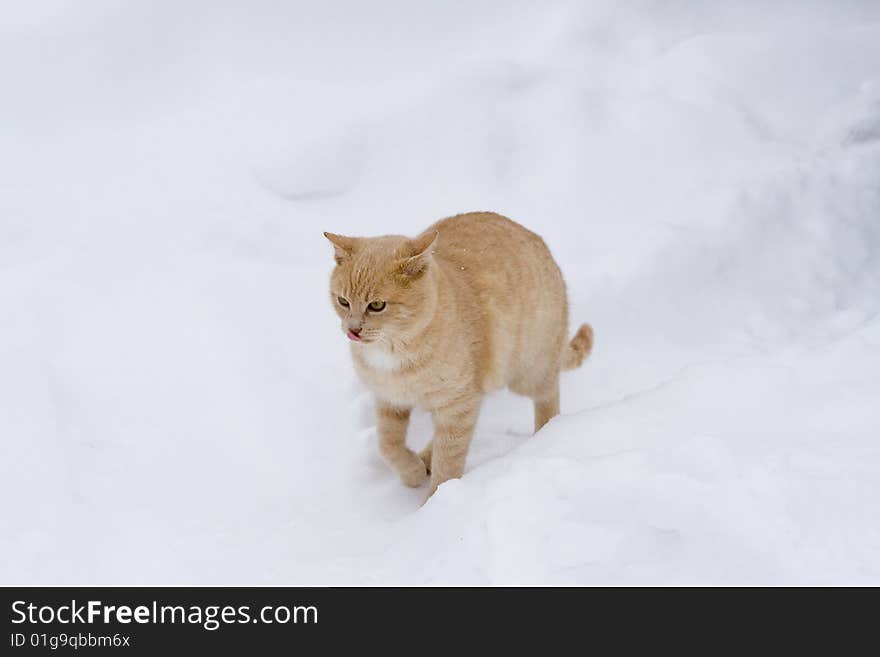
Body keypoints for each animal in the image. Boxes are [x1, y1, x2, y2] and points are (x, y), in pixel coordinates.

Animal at [326, 210, 596, 498]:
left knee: (549, 397)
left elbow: (448, 460)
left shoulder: (458, 404)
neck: (394, 350)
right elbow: (388, 445)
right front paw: (412, 472)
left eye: (377, 305)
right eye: (343, 301)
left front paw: (437, 501)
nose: (353, 330)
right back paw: (424, 459)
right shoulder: (389, 400)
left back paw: (545, 436)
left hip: (529, 372)